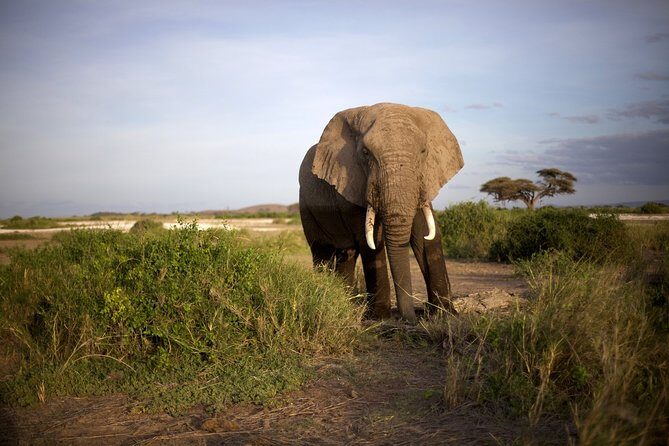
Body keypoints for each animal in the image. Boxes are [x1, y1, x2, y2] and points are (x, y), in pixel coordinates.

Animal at [298, 103, 464, 322]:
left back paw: (345, 302)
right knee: (322, 253)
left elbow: (425, 235)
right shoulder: (351, 183)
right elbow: (371, 241)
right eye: (366, 152)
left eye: (423, 151)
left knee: (346, 255)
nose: (410, 318)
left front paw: (446, 314)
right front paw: (380, 317)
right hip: (306, 206)